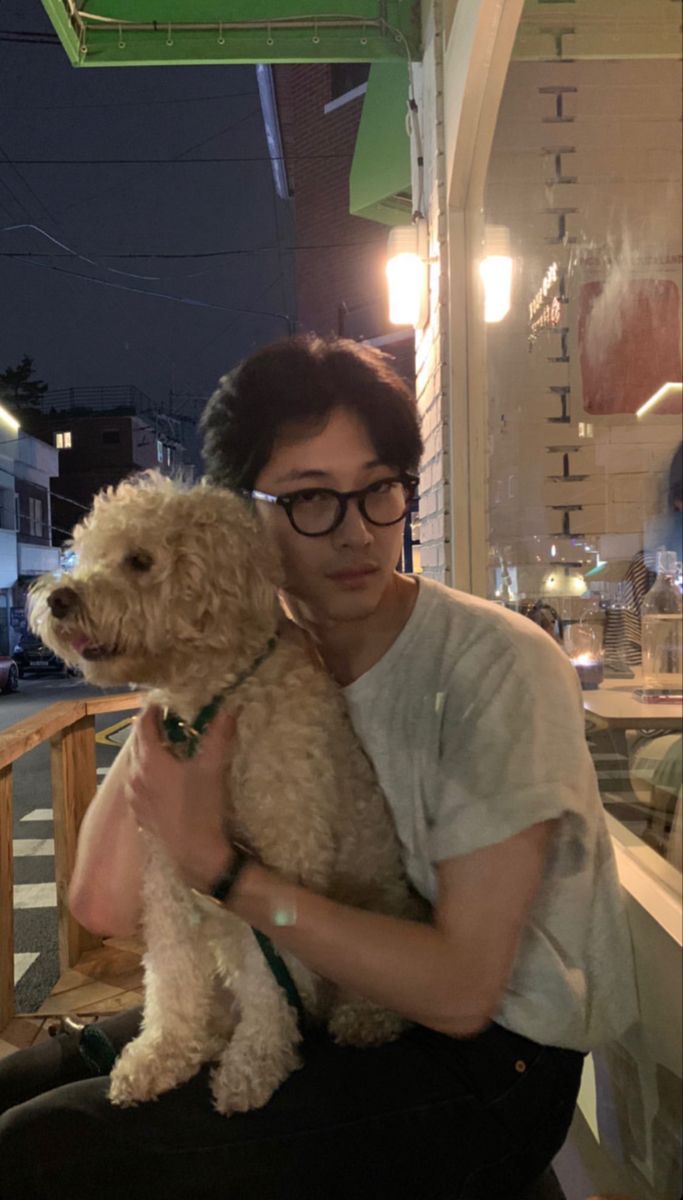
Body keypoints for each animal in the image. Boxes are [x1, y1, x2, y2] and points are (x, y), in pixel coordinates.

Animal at [31, 470, 422, 1113]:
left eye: (140, 561)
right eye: (86, 555)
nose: (59, 598)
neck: (214, 704)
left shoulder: (283, 863)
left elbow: (270, 978)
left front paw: (255, 1063)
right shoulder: (165, 873)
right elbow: (171, 971)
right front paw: (163, 1052)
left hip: (378, 906)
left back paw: (363, 1016)